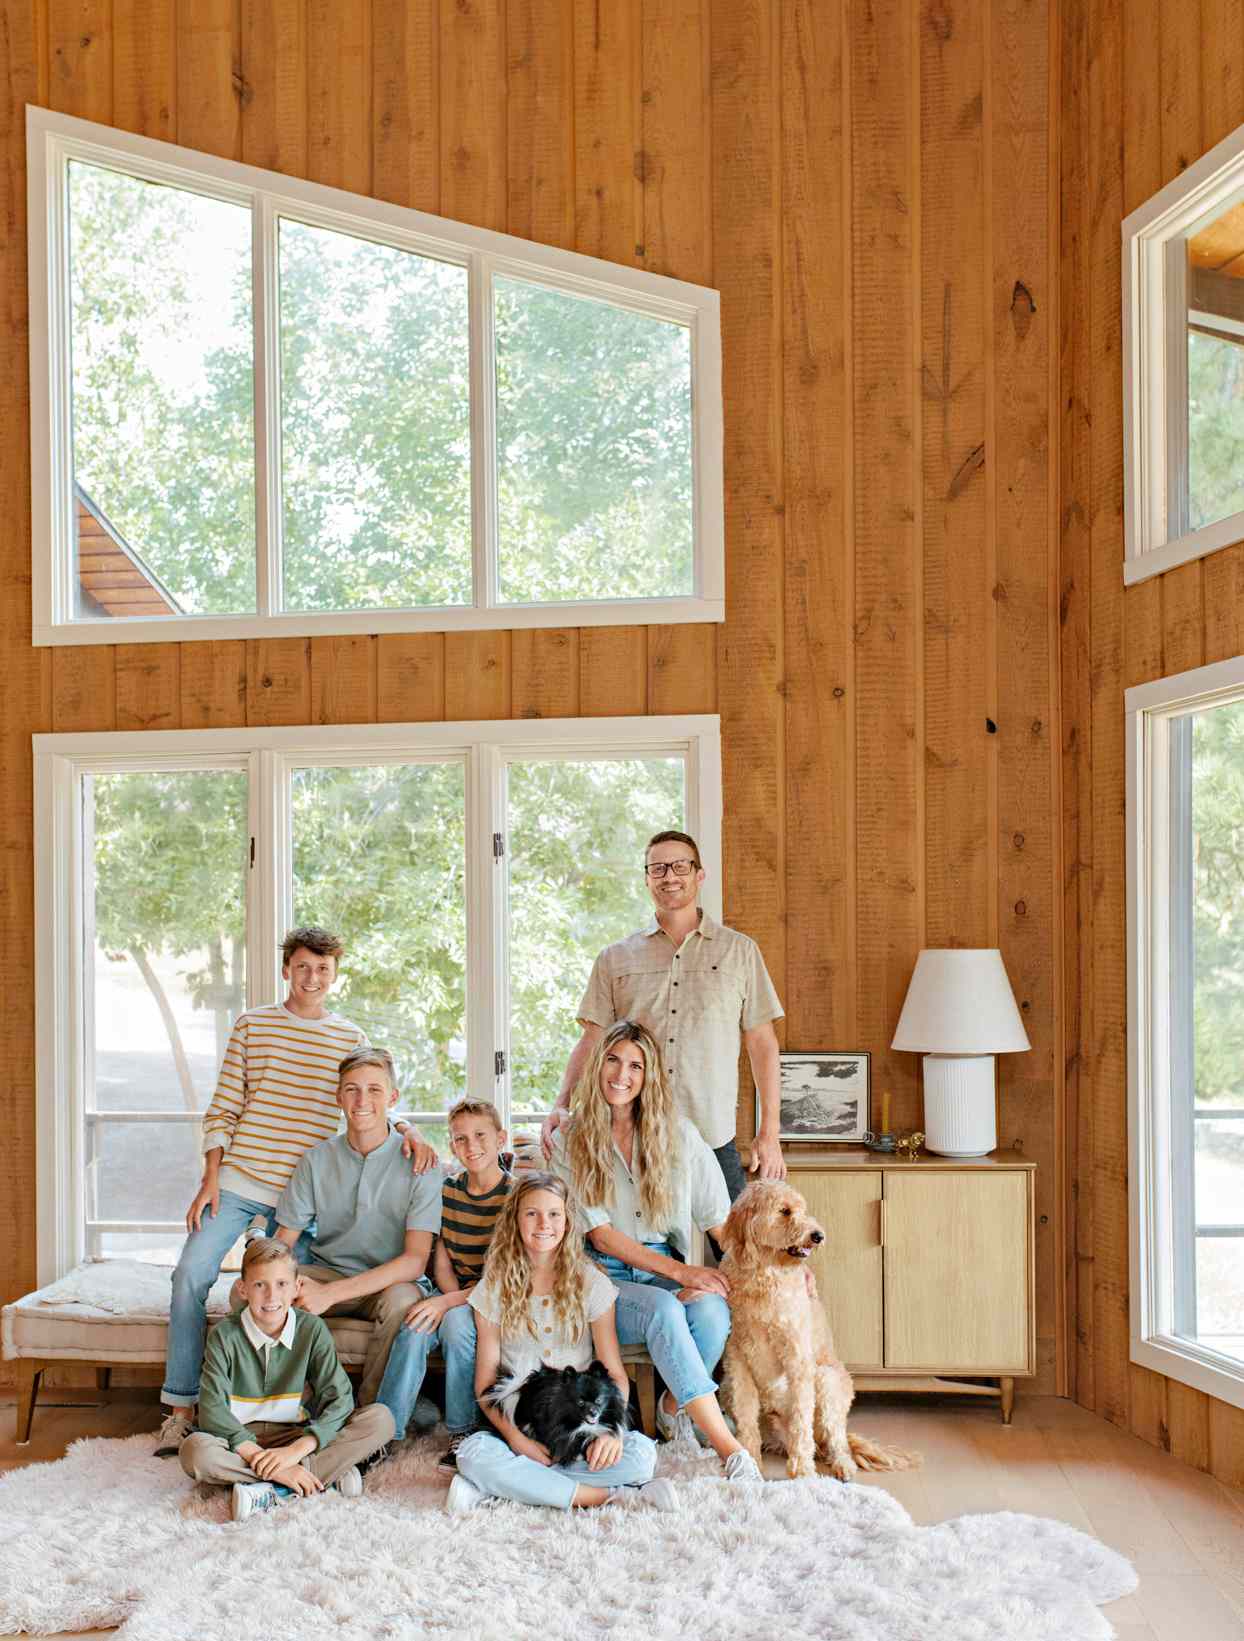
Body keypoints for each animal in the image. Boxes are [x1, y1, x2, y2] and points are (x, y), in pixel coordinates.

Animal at [725, 1174, 919, 1483]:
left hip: (827, 1382)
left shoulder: (797, 1359)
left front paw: (803, 1472)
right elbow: (745, 1417)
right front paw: (751, 1463)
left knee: (835, 1440)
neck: (764, 1277)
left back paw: (843, 1466)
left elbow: (801, 1421)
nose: (818, 1235)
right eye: (784, 1211)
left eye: (802, 1210)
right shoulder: (737, 1360)